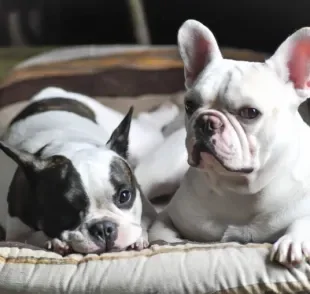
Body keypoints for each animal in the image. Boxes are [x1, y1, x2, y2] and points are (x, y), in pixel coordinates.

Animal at [0, 86, 179, 254]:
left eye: (124, 196)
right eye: (64, 209)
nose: (104, 228)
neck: (70, 143)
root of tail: (49, 93)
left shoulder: (148, 210)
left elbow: (142, 222)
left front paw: (139, 238)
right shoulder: (15, 233)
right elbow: (32, 236)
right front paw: (54, 241)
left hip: (141, 140)